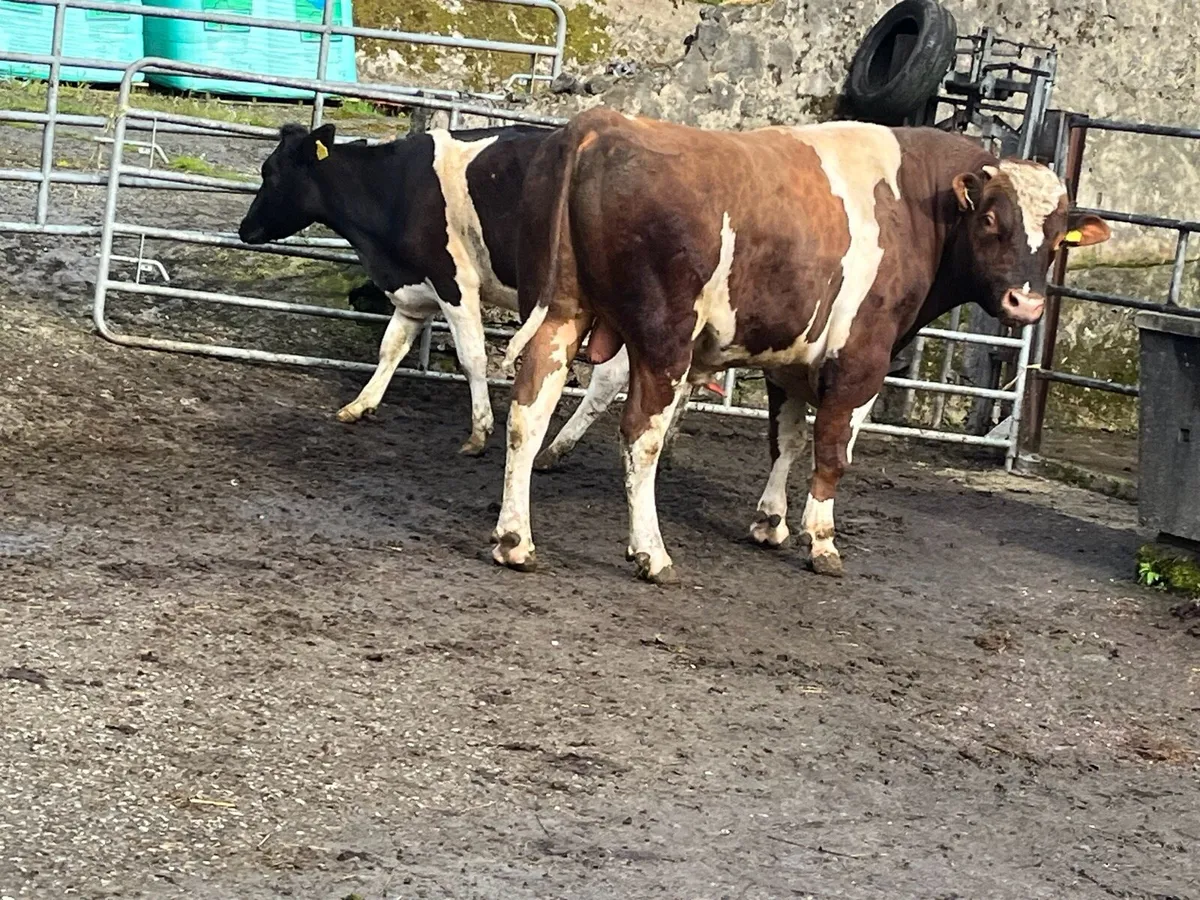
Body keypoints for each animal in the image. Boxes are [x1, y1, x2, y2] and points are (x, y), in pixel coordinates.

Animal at [491, 108, 1110, 583]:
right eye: (989, 220)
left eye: (1058, 240)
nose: (1025, 305)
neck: (912, 201)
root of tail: (602, 123)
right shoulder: (862, 358)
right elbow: (833, 450)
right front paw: (821, 539)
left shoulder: (789, 359)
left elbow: (785, 440)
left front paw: (770, 521)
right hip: (663, 341)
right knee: (641, 435)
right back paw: (652, 554)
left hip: (559, 314)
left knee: (528, 410)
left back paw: (515, 539)